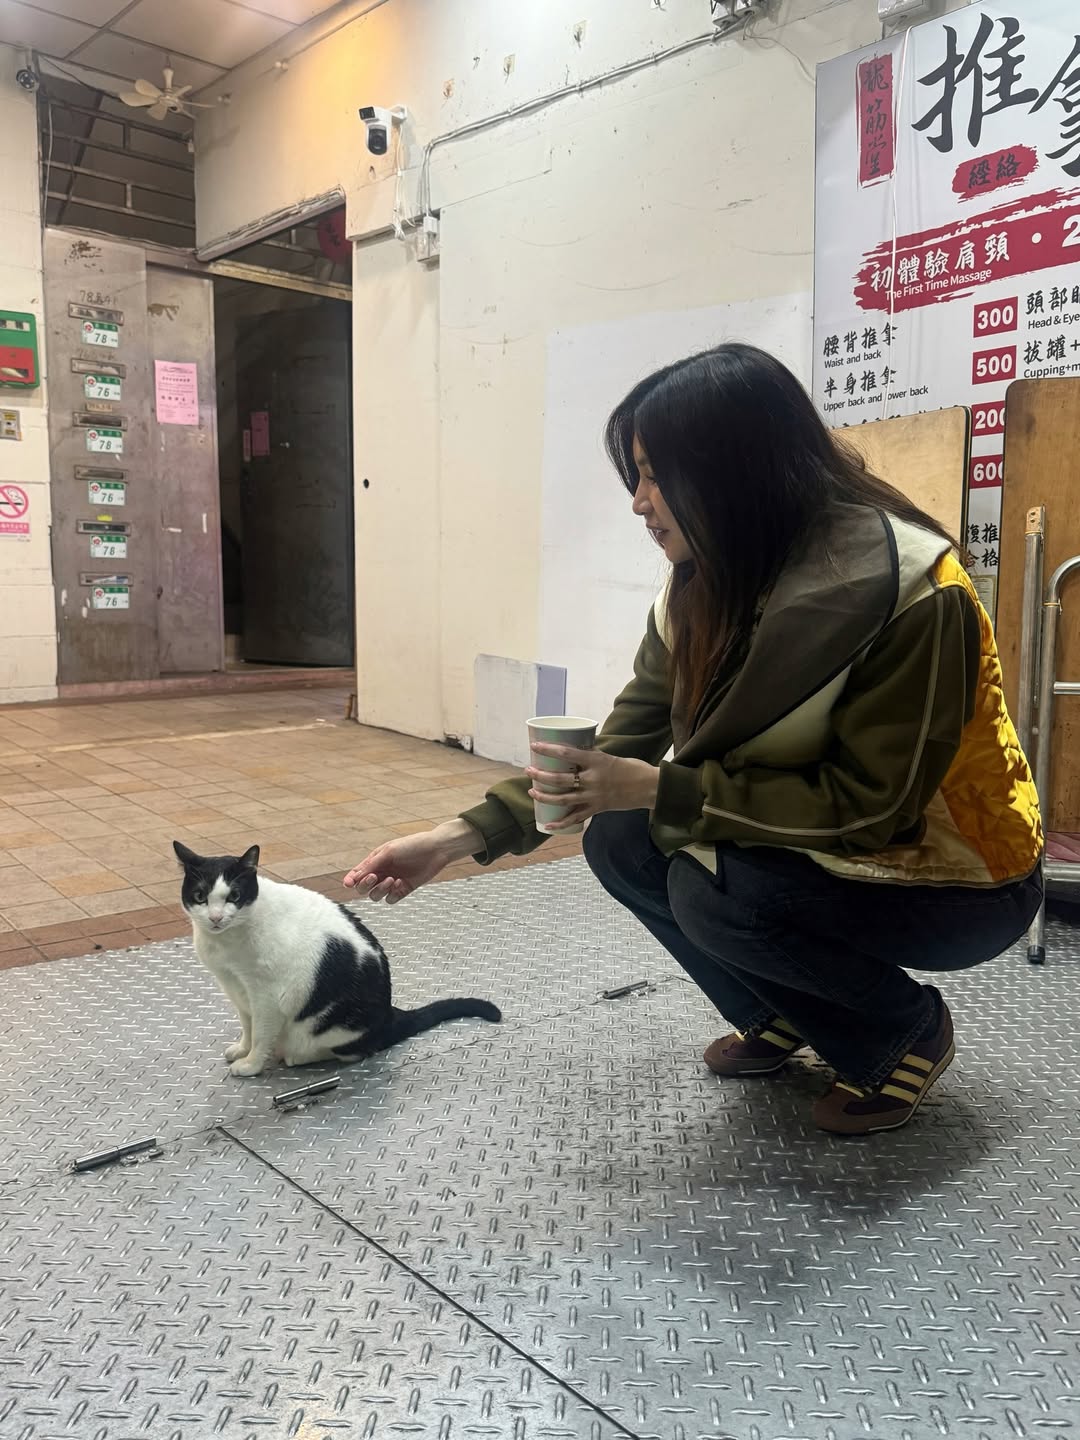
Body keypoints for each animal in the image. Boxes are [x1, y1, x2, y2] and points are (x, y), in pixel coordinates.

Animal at [173, 841, 501, 1077]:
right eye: (200, 896)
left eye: (235, 896)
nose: (216, 918)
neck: (225, 945)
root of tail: (390, 1015)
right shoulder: (236, 988)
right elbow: (247, 1026)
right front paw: (243, 1049)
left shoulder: (266, 997)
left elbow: (261, 1034)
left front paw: (251, 1064)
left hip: (329, 1027)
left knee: (353, 1052)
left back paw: (295, 1054)